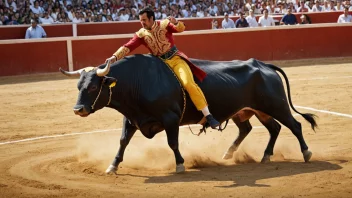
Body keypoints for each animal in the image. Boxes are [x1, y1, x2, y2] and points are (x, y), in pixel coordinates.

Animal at [59, 54, 318, 173]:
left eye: (93, 87)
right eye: (78, 86)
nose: (78, 109)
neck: (138, 81)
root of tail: (263, 65)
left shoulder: (170, 118)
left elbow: (172, 142)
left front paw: (180, 165)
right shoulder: (132, 119)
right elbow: (122, 142)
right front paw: (112, 166)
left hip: (276, 106)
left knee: (294, 125)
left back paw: (306, 153)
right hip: (253, 111)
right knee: (267, 128)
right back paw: (253, 155)